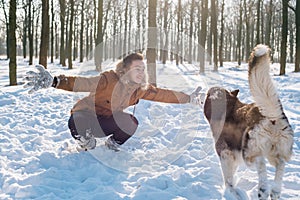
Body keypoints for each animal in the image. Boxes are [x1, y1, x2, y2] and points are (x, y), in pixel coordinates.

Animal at [204, 44, 292, 199]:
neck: (230, 106)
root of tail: (271, 116)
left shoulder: (225, 153)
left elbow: (228, 179)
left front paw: (230, 191)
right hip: (275, 151)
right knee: (280, 164)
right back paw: (275, 191)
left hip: (250, 151)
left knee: (261, 164)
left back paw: (263, 189)